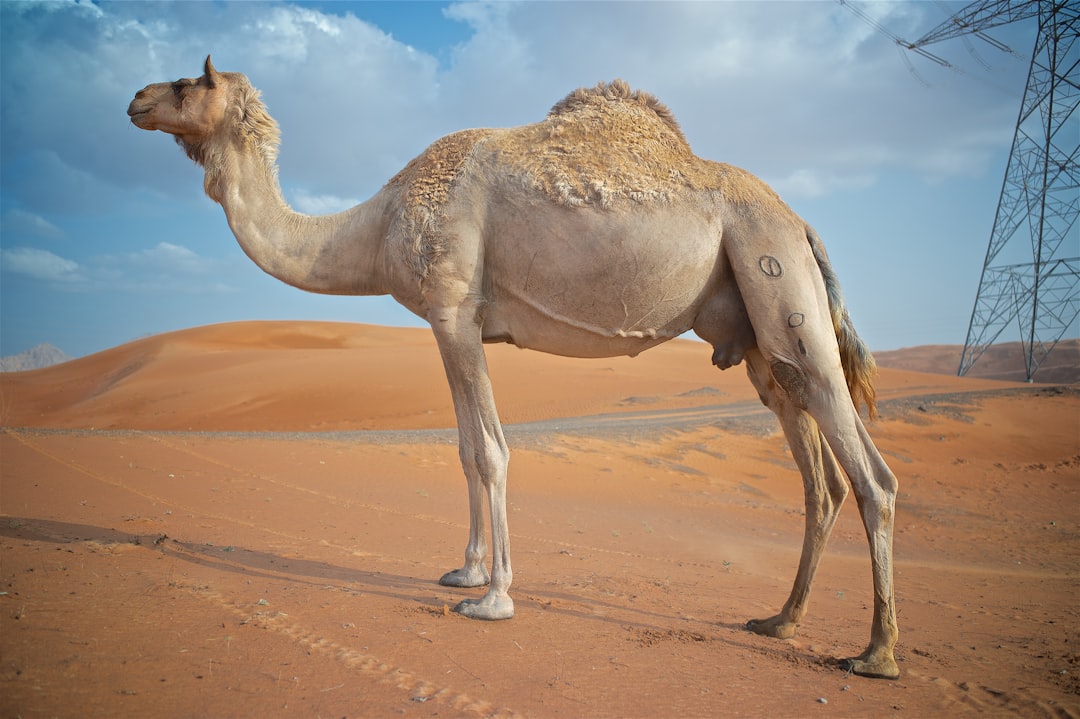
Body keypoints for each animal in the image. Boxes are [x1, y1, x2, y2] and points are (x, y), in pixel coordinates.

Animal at [128, 57, 902, 677]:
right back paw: (780, 620)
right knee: (817, 469)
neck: (377, 224)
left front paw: (494, 598)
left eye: (189, 82)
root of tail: (801, 223)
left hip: (777, 274)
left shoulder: (452, 312)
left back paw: (876, 653)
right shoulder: (456, 325)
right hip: (758, 331)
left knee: (870, 471)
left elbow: (492, 451)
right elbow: (465, 448)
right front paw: (464, 570)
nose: (135, 98)